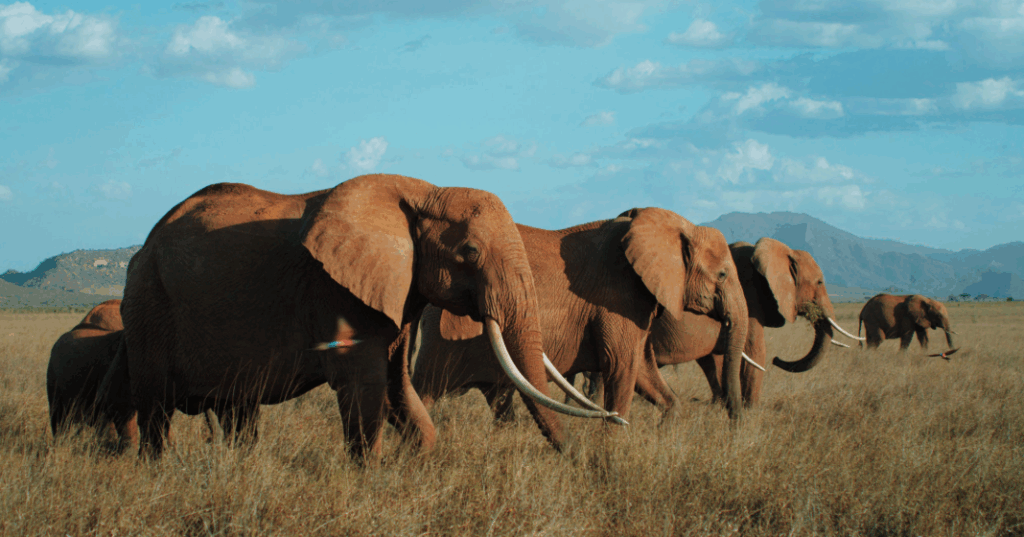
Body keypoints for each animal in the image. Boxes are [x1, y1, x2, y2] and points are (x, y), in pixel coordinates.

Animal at [98, 174, 612, 459]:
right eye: (469, 251)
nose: (577, 460)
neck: (423, 192)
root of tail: (144, 245)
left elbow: (397, 384)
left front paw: (417, 459)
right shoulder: (336, 291)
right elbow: (365, 384)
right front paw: (374, 473)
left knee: (237, 409)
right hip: (148, 304)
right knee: (156, 408)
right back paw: (158, 469)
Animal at [411, 207, 749, 424]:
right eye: (722, 275)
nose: (735, 423)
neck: (676, 226)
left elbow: (643, 372)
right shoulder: (617, 298)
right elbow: (622, 368)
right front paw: (612, 450)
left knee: (499, 401)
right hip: (441, 339)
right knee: (423, 391)